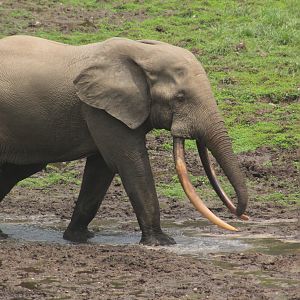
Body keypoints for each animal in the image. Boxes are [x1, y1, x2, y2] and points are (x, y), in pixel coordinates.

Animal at [0, 35, 248, 246]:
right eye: (180, 97)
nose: (241, 220)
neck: (142, 52)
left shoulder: (104, 109)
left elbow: (101, 170)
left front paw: (78, 237)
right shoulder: (100, 110)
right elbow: (129, 163)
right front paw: (162, 242)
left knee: (17, 170)